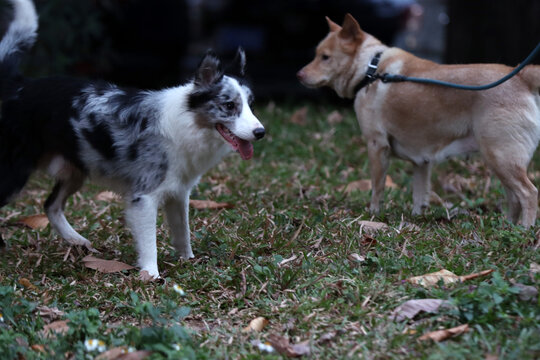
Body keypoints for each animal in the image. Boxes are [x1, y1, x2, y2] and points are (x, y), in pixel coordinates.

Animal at [0, 0, 266, 278]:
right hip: (15, 172)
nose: (261, 132)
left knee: (51, 205)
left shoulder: (179, 193)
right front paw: (151, 276)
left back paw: (75, 240)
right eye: (229, 106)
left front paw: (188, 261)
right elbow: (150, 243)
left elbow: (183, 234)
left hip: (75, 170)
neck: (187, 121)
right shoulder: (144, 198)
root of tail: (22, 86)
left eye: (250, 104)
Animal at [298, 14, 540, 228]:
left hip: (501, 157)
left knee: (529, 194)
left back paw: (524, 231)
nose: (299, 75)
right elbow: (419, 195)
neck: (371, 69)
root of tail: (521, 76)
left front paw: (373, 215)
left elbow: (377, 188)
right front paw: (416, 219)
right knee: (514, 198)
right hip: (500, 161)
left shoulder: (377, 146)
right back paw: (508, 227)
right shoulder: (421, 162)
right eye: (316, 55)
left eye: (325, 57)